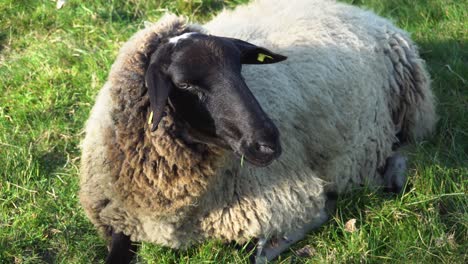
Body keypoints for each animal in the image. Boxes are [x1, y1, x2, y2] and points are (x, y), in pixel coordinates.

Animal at [79, 0, 436, 262]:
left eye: (240, 67)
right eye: (184, 84)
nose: (268, 144)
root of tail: (362, 11)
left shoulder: (289, 196)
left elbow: (263, 251)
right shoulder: (116, 221)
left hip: (410, 107)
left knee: (409, 144)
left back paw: (392, 176)